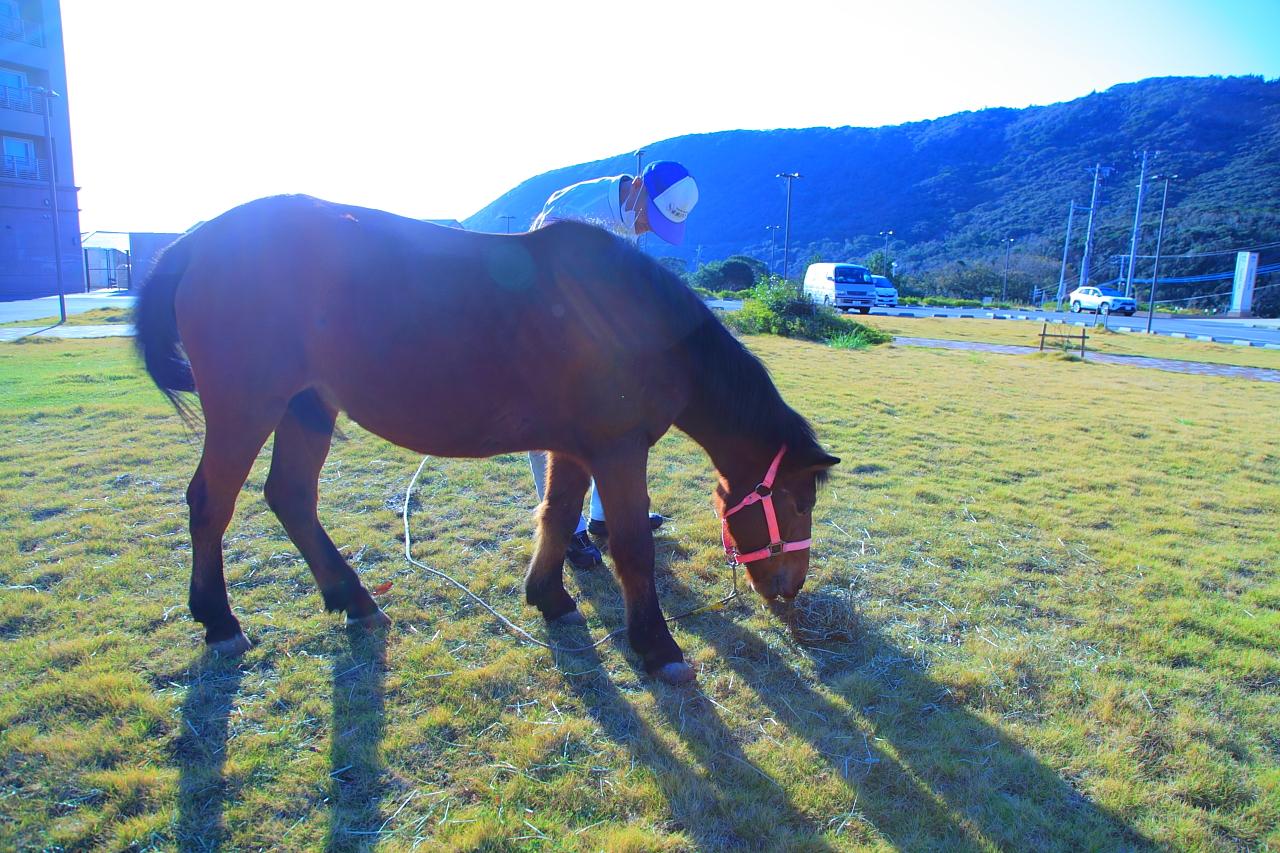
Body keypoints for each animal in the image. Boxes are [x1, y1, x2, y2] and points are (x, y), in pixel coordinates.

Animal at [137, 195, 839, 681]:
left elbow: (556, 514)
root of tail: (198, 241)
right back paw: (219, 621)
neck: (636, 319)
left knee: (290, 497)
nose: (791, 588)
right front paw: (657, 647)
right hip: (246, 406)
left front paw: (549, 597)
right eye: (797, 501)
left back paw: (352, 598)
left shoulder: (574, 447)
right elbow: (633, 548)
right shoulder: (618, 449)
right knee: (211, 503)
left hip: (307, 407)